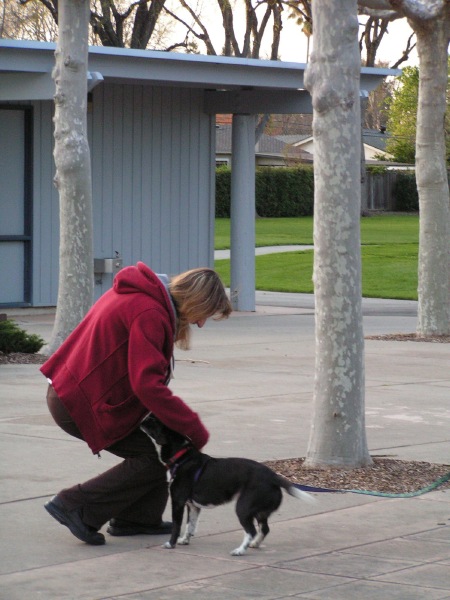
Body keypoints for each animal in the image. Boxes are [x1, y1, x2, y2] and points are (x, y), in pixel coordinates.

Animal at [140, 414, 312, 556]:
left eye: (155, 421)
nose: (143, 419)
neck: (182, 457)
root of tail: (273, 477)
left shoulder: (178, 502)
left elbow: (177, 525)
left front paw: (171, 544)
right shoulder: (193, 506)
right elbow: (190, 525)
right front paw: (185, 540)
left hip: (243, 508)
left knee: (250, 531)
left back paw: (240, 550)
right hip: (260, 511)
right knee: (264, 529)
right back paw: (254, 544)